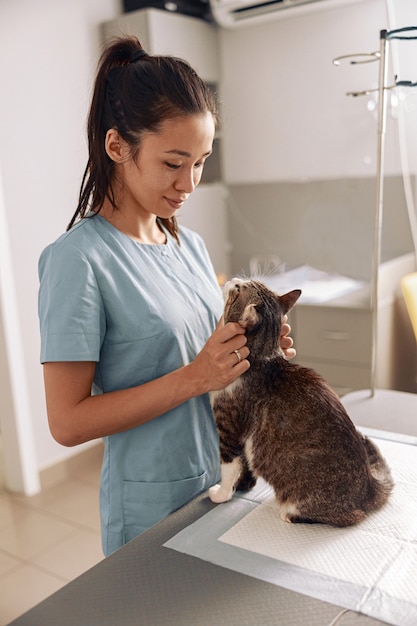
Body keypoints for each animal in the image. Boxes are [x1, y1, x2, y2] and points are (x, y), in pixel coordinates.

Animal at [210, 280, 392, 528]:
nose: (233, 279)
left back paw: (289, 514)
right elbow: (245, 465)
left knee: (350, 517)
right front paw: (245, 484)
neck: (261, 356)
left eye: (238, 290)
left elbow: (228, 469)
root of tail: (369, 486)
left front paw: (221, 494)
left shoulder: (228, 431)